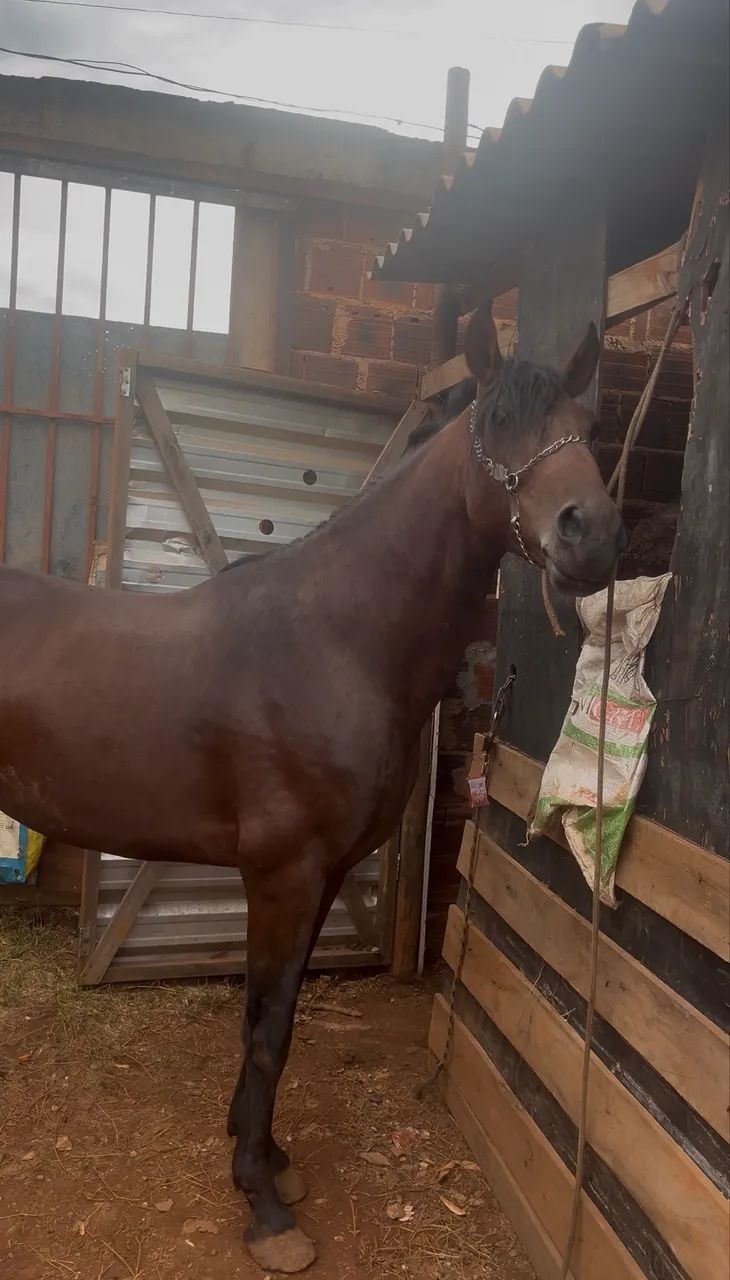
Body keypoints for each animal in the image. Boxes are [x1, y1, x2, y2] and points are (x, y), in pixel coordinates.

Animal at [0, 306, 625, 1273]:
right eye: (493, 426)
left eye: (589, 427)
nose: (588, 532)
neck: (334, 641)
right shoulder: (283, 875)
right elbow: (267, 1032)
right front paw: (263, 1205)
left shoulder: (322, 876)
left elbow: (276, 1017)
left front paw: (266, 1157)